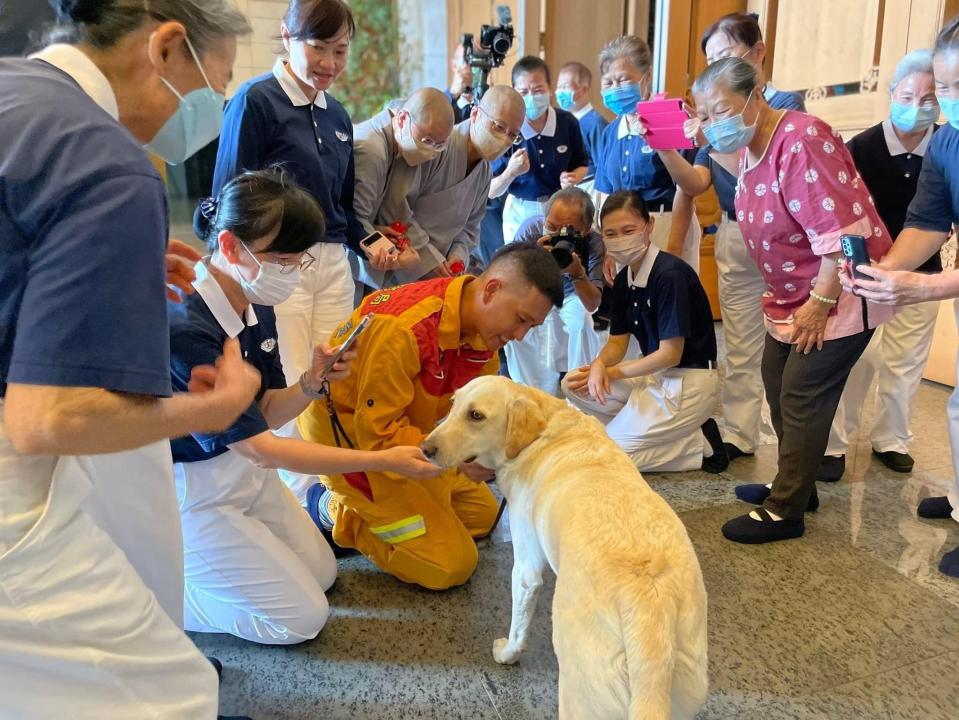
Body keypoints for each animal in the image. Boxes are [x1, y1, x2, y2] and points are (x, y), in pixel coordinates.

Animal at [424, 376, 708, 720]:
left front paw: (507, 654)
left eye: (475, 415)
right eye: (453, 405)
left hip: (579, 693)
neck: (542, 433)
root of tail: (649, 608)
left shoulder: (526, 571)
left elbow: (518, 626)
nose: (424, 449)